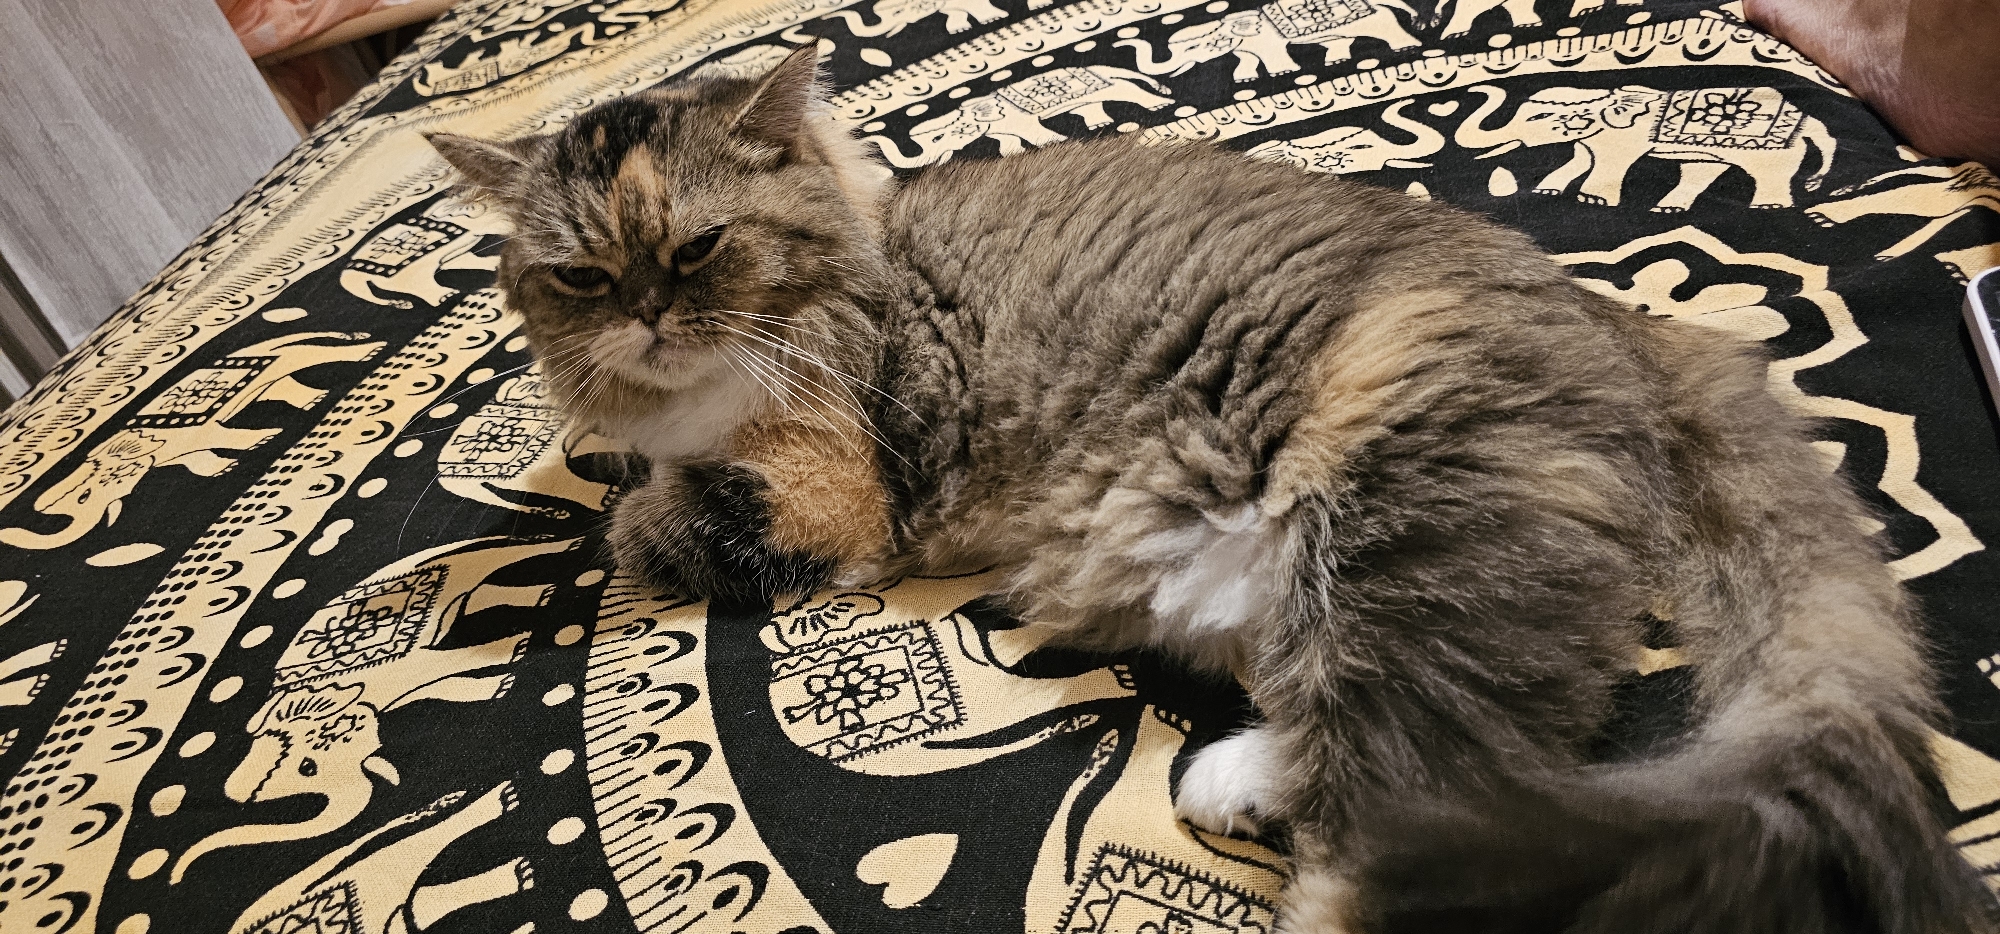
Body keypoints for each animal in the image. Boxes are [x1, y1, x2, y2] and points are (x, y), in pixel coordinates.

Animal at [0, 332, 385, 550]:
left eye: (83, 497)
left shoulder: (177, 435)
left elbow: (218, 434)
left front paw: (261, 441)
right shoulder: (172, 454)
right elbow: (198, 463)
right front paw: (228, 467)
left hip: (287, 356)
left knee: (316, 354)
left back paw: (369, 352)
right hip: (275, 376)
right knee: (289, 387)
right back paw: (316, 401)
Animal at [171, 535, 579, 883]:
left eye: (307, 768)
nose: (177, 877)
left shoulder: (390, 670)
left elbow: (440, 664)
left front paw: (513, 654)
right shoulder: (392, 695)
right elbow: (443, 687)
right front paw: (501, 683)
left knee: (505, 558)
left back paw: (565, 551)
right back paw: (542, 595)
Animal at [869, 67, 1175, 167]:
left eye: (937, 137)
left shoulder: (1013, 116)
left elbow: (1030, 129)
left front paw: (1049, 143)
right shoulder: (996, 127)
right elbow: (1006, 140)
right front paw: (1013, 153)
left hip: (1110, 86)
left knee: (1129, 91)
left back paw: (1159, 106)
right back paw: (1100, 124)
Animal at [1115, 0, 1420, 82]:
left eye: (1192, 47)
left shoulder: (1265, 40)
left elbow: (1274, 54)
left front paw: (1283, 74)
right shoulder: (1245, 46)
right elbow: (1246, 59)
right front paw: (1245, 80)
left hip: (1372, 19)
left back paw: (1406, 47)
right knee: (1339, 41)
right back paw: (1337, 61)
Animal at [1453, 83, 1837, 211]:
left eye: (1540, 116)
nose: (1473, 91)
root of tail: (1809, 120)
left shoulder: (1622, 137)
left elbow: (1609, 164)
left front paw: (1592, 201)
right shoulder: (1588, 139)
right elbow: (1578, 160)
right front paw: (1547, 191)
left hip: (1774, 152)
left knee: (1768, 174)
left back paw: (1769, 207)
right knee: (1700, 171)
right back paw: (1667, 210)